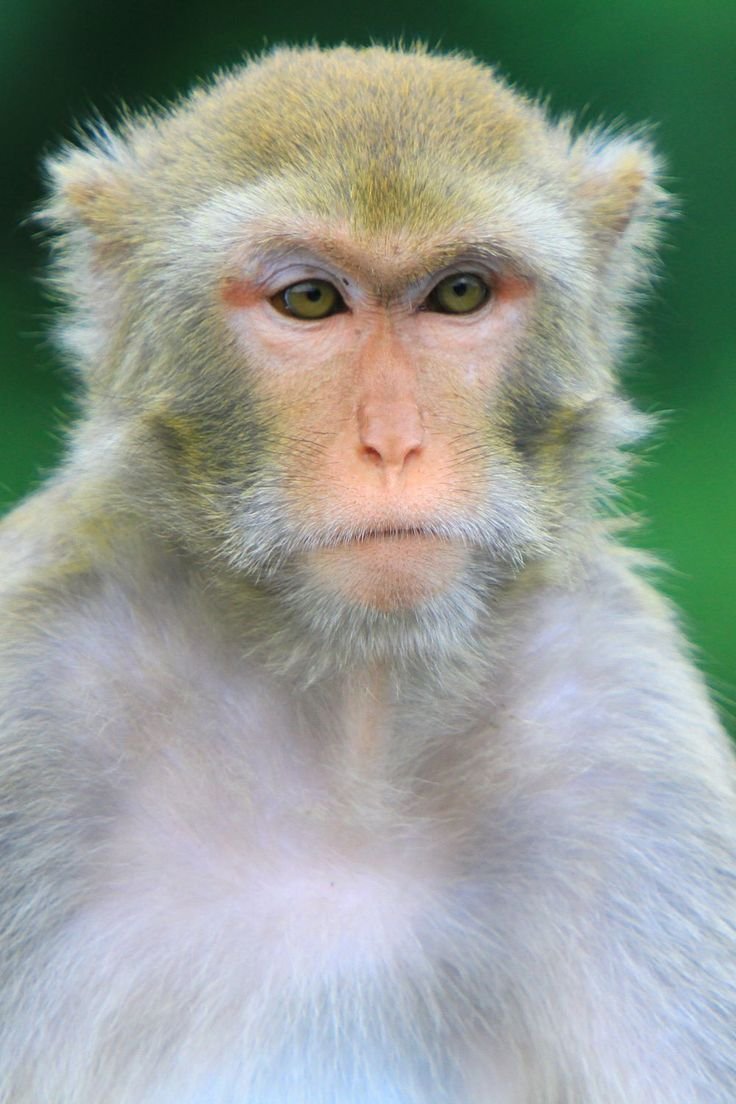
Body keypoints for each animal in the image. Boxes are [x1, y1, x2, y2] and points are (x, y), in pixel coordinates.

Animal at [0, 42, 734, 1104]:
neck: (355, 708)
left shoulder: (625, 726)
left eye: (460, 294)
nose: (393, 443)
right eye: (309, 299)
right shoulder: (31, 687)